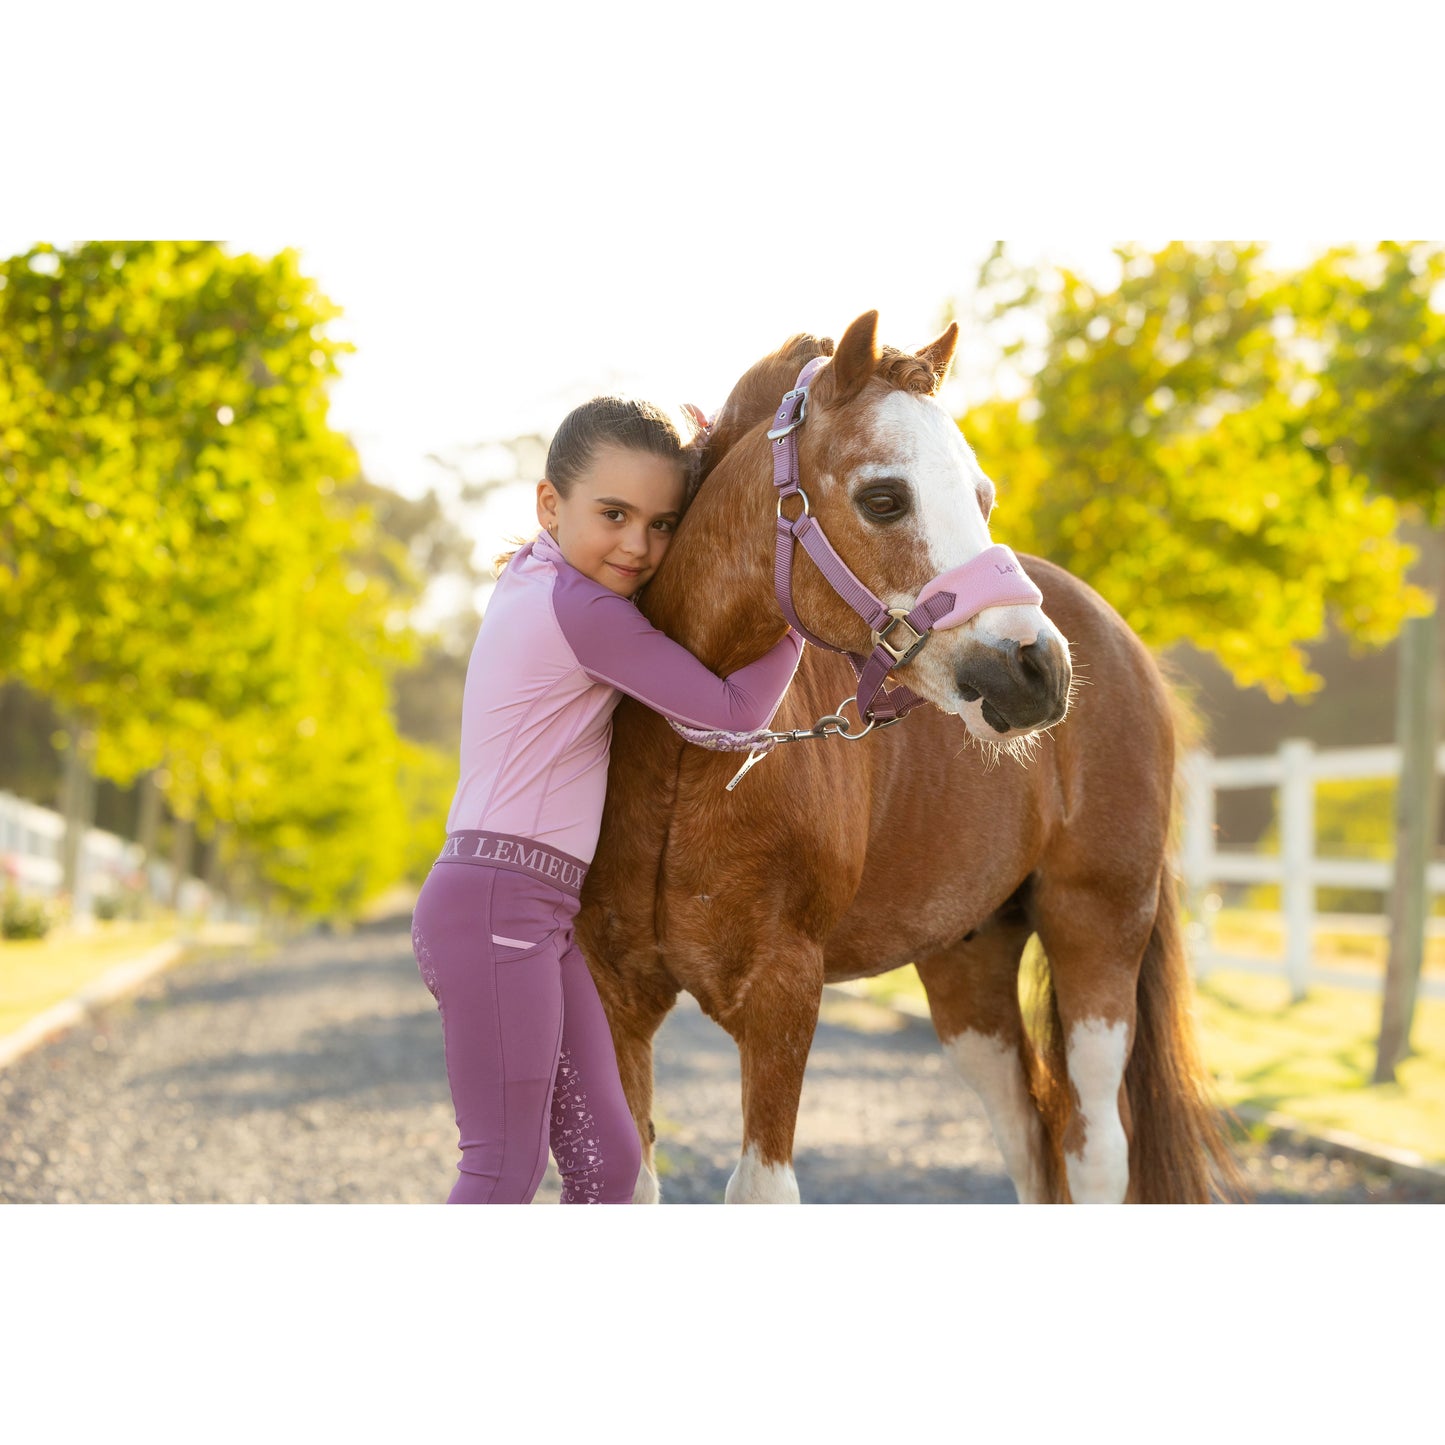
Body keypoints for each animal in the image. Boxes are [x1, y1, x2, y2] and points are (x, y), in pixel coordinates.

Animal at [575, 310, 1241, 1203]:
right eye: (884, 498)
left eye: (982, 498)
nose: (1037, 669)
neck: (685, 762)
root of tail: (1116, 639)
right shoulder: (616, 994)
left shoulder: (783, 997)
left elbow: (762, 1188)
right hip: (969, 971)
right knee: (1027, 1138)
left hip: (1098, 932)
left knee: (1093, 1147)